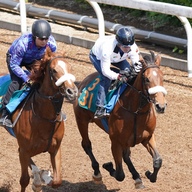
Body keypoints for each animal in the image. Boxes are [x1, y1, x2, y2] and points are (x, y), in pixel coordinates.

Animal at [1, 47, 78, 192]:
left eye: (70, 67)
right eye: (53, 70)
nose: (72, 92)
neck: (45, 118)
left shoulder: (56, 148)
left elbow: (57, 181)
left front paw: (43, 177)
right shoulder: (24, 150)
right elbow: (24, 180)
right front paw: (39, 179)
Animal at [73, 51, 166, 189]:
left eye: (162, 78)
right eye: (147, 79)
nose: (161, 106)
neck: (136, 112)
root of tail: (83, 82)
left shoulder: (147, 137)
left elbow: (158, 161)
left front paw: (149, 174)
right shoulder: (115, 141)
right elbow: (120, 175)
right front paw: (108, 166)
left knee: (126, 155)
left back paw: (137, 177)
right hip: (81, 120)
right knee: (86, 144)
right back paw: (97, 172)